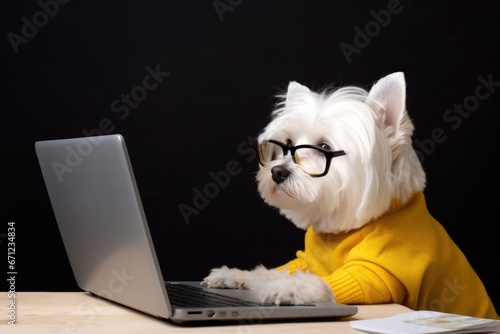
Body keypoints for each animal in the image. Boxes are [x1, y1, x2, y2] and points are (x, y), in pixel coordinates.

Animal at [202, 72, 496, 318]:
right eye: (287, 145)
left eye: (323, 147)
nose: (276, 172)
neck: (344, 228)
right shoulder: (306, 260)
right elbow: (274, 271)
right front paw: (236, 275)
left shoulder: (373, 275)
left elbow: (320, 283)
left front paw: (288, 289)